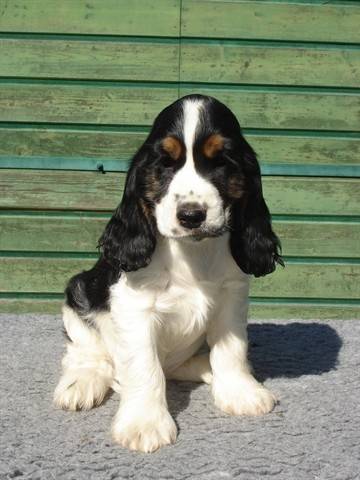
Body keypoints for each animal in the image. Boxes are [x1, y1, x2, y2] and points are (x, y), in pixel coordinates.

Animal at [54, 94, 284, 454]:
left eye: (221, 162)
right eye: (165, 164)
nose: (191, 215)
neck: (191, 253)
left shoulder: (231, 295)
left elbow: (231, 349)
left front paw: (241, 392)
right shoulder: (134, 308)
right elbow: (145, 367)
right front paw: (144, 425)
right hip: (79, 291)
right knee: (86, 353)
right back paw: (80, 384)